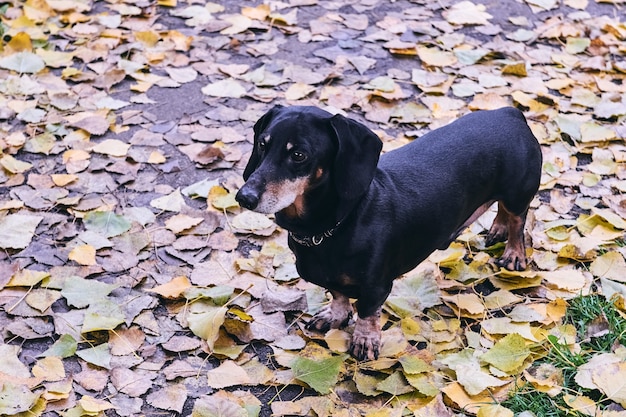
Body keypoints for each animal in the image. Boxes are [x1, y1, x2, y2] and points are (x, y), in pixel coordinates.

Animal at [234, 105, 540, 360]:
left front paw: (365, 340)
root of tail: (509, 113)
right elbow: (338, 294)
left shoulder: (376, 286)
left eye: (298, 155)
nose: (244, 197)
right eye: (262, 145)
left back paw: (514, 253)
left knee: (518, 219)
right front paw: (334, 315)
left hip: (518, 192)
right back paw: (498, 227)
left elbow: (367, 313)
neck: (338, 224)